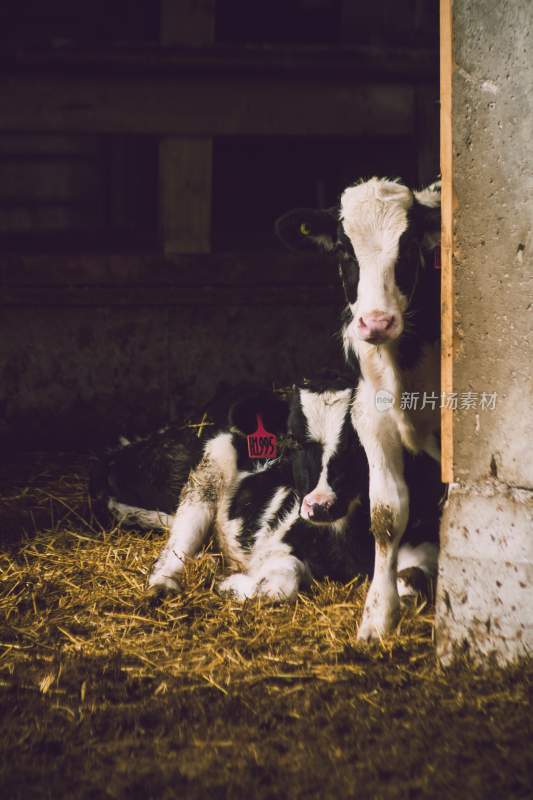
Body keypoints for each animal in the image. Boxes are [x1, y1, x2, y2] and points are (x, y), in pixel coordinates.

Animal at [274, 180, 440, 636]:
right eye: (343, 250)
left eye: (409, 245)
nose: (377, 322)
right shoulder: (372, 418)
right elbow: (387, 514)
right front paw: (377, 618)